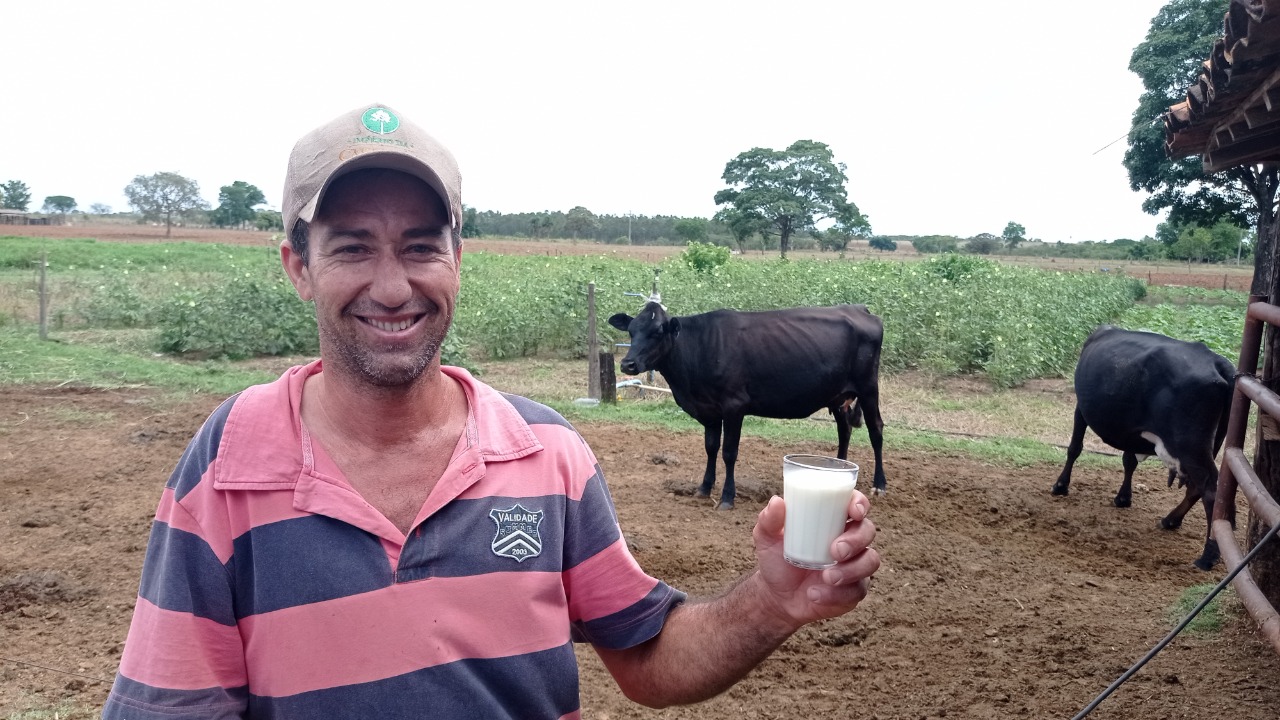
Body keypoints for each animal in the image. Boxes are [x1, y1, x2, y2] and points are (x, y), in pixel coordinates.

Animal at [604, 299, 885, 507]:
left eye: (658, 332)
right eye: (631, 331)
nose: (628, 364)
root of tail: (859, 308)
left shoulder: (734, 406)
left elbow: (729, 452)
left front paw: (727, 497)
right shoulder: (709, 410)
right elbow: (710, 448)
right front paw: (704, 488)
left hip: (868, 387)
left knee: (876, 430)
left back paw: (879, 484)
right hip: (838, 395)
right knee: (844, 430)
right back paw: (836, 470)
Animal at [1054, 324, 1233, 566]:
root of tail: (1216, 361)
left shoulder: (1080, 409)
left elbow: (1074, 448)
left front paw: (1060, 486)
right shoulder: (1132, 431)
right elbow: (1129, 461)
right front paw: (1123, 497)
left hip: (1191, 446)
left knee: (1210, 491)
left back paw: (1208, 555)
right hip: (1211, 444)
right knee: (1197, 487)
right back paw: (1170, 520)